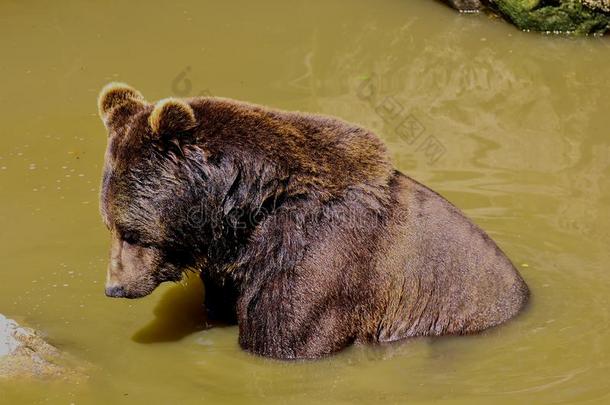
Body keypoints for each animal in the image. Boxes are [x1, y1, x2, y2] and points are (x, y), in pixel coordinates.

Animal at [97, 81, 524, 356]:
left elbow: (289, 336)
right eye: (109, 225)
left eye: (132, 232)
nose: (115, 287)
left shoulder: (321, 259)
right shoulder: (231, 267)